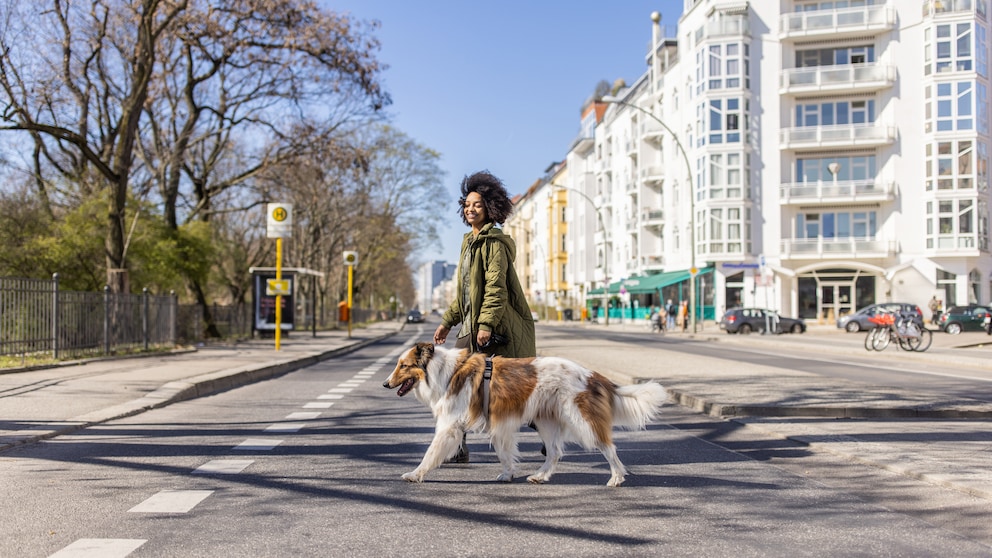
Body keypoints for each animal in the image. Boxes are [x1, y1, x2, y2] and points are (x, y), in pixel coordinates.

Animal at [384, 344, 672, 488]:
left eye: (403, 365)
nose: (385, 384)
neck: (445, 371)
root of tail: (592, 374)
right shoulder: (499, 425)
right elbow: (504, 453)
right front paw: (508, 474)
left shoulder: (450, 426)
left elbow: (430, 453)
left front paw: (415, 474)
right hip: (546, 422)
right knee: (554, 452)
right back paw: (540, 476)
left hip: (582, 420)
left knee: (608, 448)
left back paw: (616, 478)